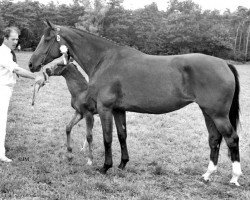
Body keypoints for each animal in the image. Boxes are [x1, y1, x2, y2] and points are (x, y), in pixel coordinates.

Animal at [28, 20, 242, 186]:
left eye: (46, 39)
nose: (31, 64)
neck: (105, 59)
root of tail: (224, 64)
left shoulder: (105, 108)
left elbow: (107, 138)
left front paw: (105, 167)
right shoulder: (118, 110)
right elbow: (122, 135)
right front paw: (123, 164)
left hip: (218, 114)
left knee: (232, 139)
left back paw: (234, 177)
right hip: (208, 113)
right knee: (214, 139)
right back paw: (207, 175)